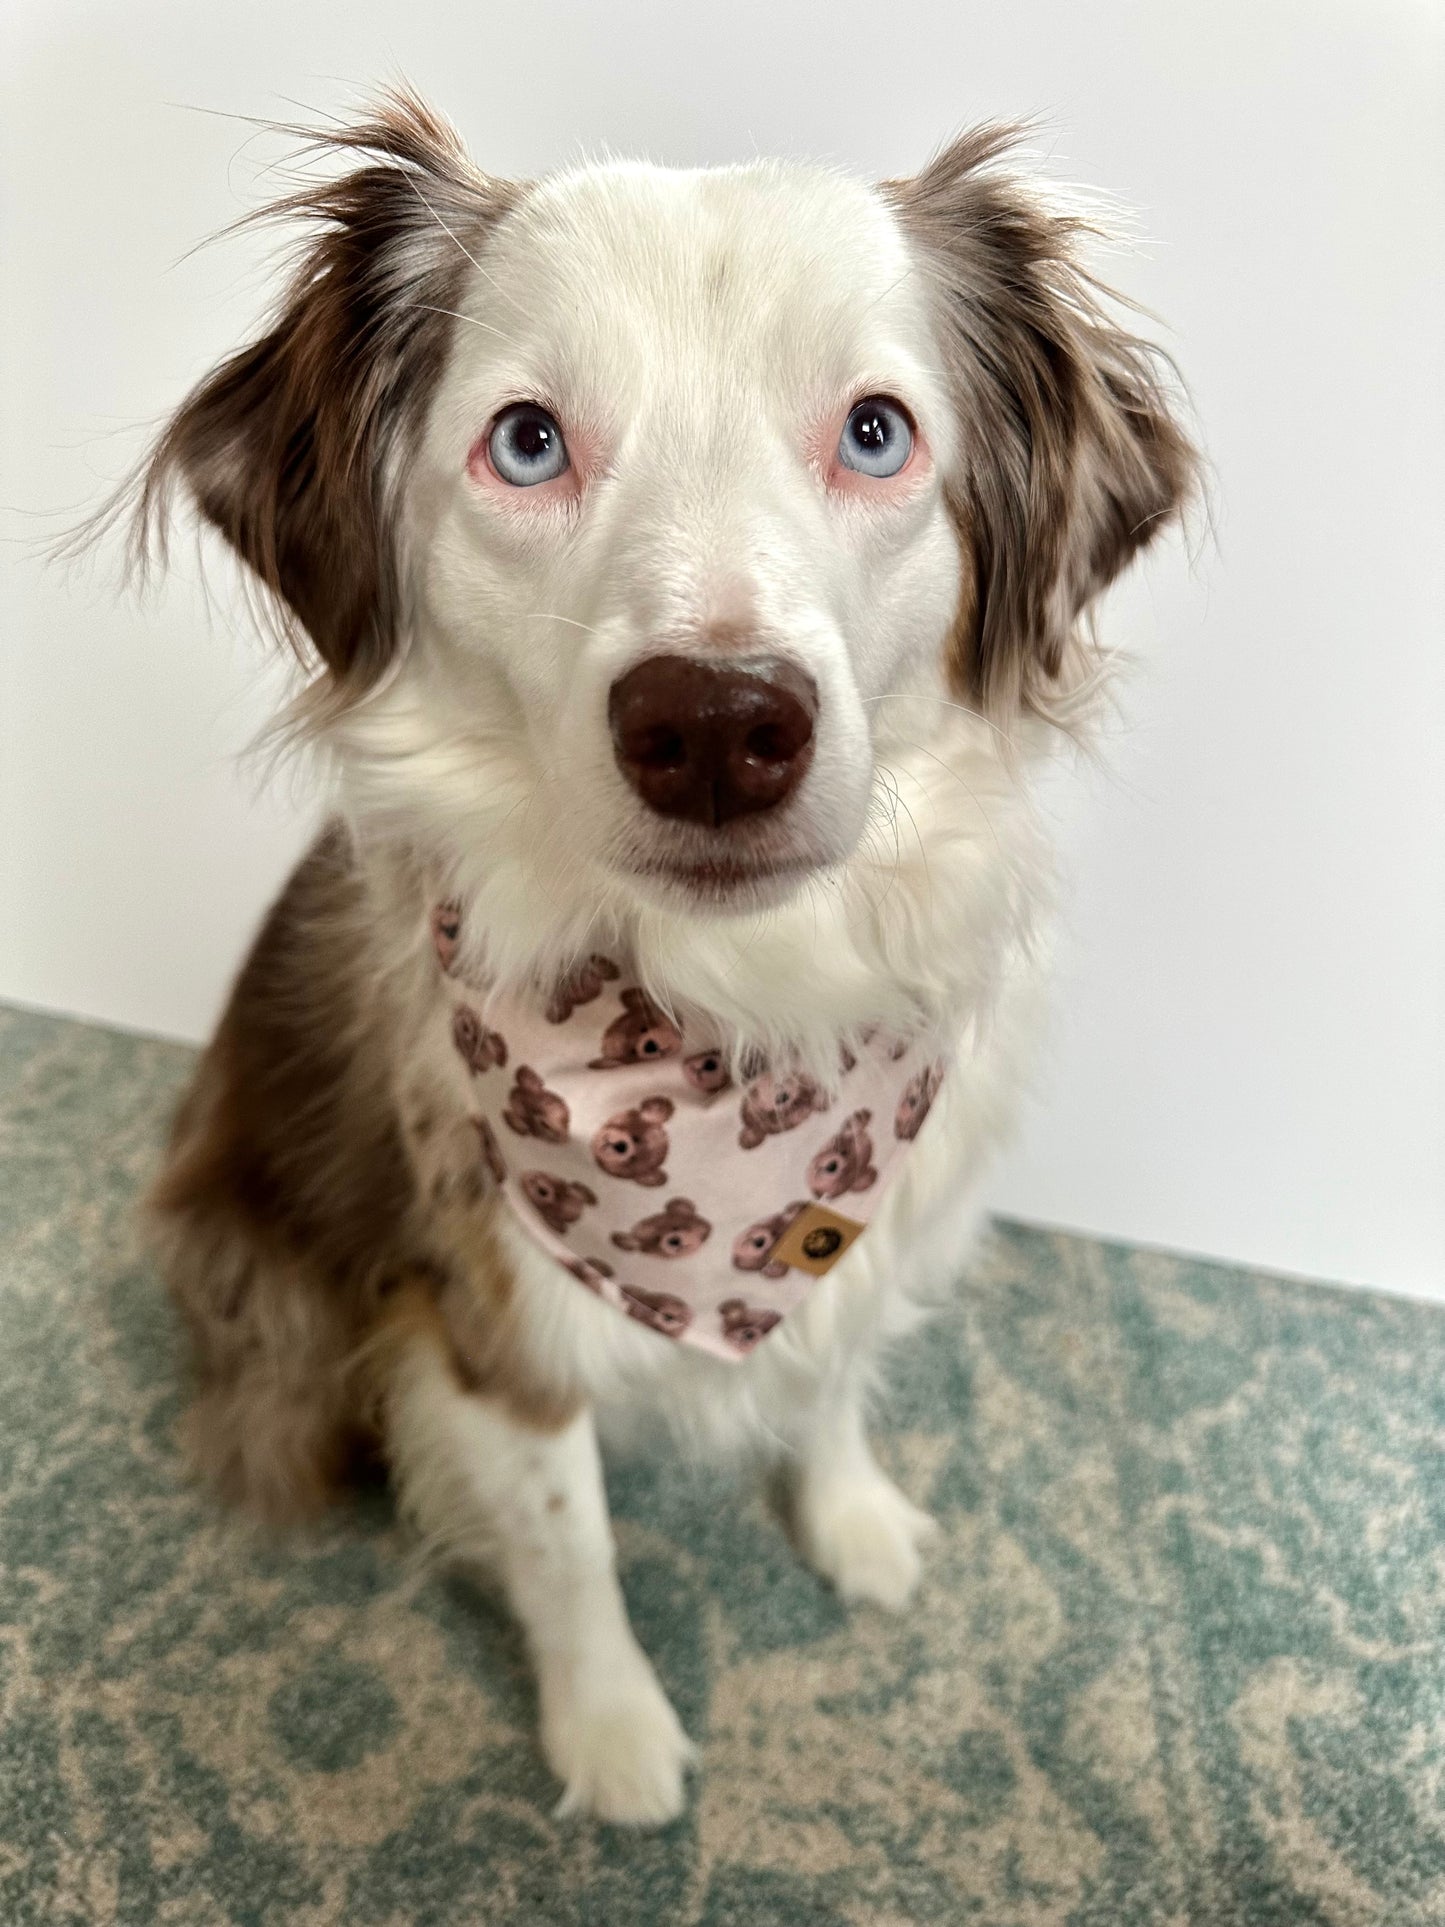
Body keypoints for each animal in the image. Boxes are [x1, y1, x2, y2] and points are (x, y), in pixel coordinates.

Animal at [130, 90, 1202, 1826]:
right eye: (528, 440)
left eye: (877, 431)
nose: (712, 725)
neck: (738, 1020)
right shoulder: (485, 1318)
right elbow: (567, 1541)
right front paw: (612, 1727)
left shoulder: (866, 1213)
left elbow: (831, 1375)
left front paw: (850, 1522)